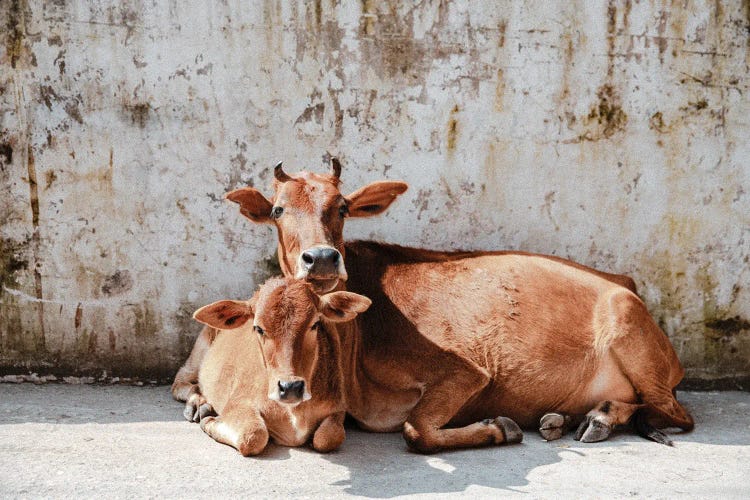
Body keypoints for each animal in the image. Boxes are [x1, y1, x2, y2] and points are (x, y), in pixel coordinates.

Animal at [191, 278, 374, 458]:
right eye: (258, 328)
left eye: (315, 324)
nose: (291, 387)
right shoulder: (238, 403)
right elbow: (253, 436)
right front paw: (209, 421)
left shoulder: (338, 408)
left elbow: (329, 437)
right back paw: (198, 407)